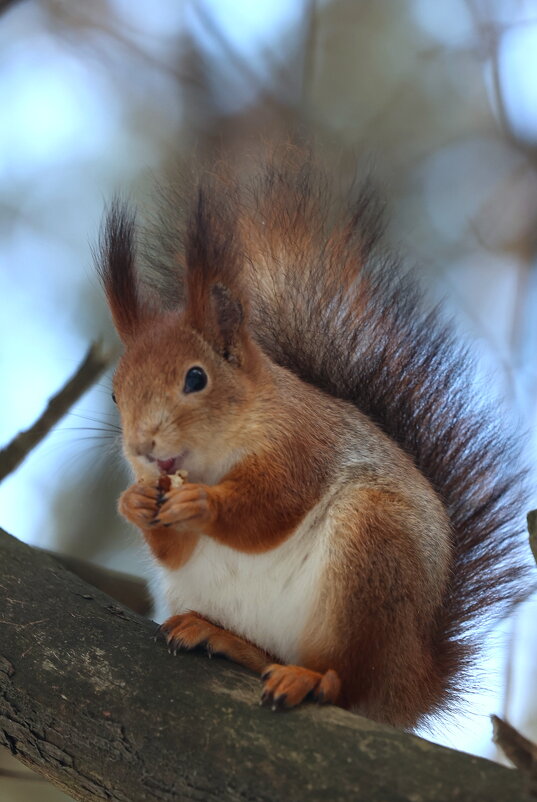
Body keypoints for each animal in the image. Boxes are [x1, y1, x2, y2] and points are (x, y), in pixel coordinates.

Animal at [96, 148, 528, 724]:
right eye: (115, 394)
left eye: (196, 378)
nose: (142, 448)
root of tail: (411, 685)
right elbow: (175, 551)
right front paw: (135, 502)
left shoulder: (304, 442)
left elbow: (272, 506)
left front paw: (202, 502)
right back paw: (222, 638)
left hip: (372, 554)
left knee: (346, 681)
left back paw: (310, 678)